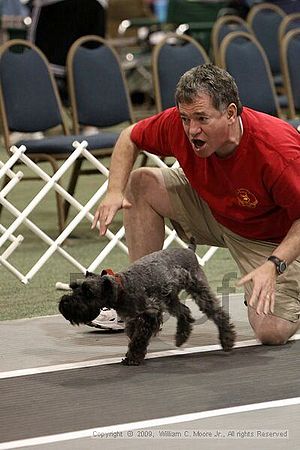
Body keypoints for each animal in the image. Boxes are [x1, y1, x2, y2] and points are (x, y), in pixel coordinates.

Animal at [59, 239, 237, 366]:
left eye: (88, 292)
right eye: (74, 287)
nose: (64, 304)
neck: (122, 287)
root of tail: (189, 250)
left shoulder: (149, 314)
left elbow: (139, 338)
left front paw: (133, 357)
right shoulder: (134, 318)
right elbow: (133, 335)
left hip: (199, 291)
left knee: (218, 313)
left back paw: (227, 339)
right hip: (170, 299)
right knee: (184, 311)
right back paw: (181, 336)